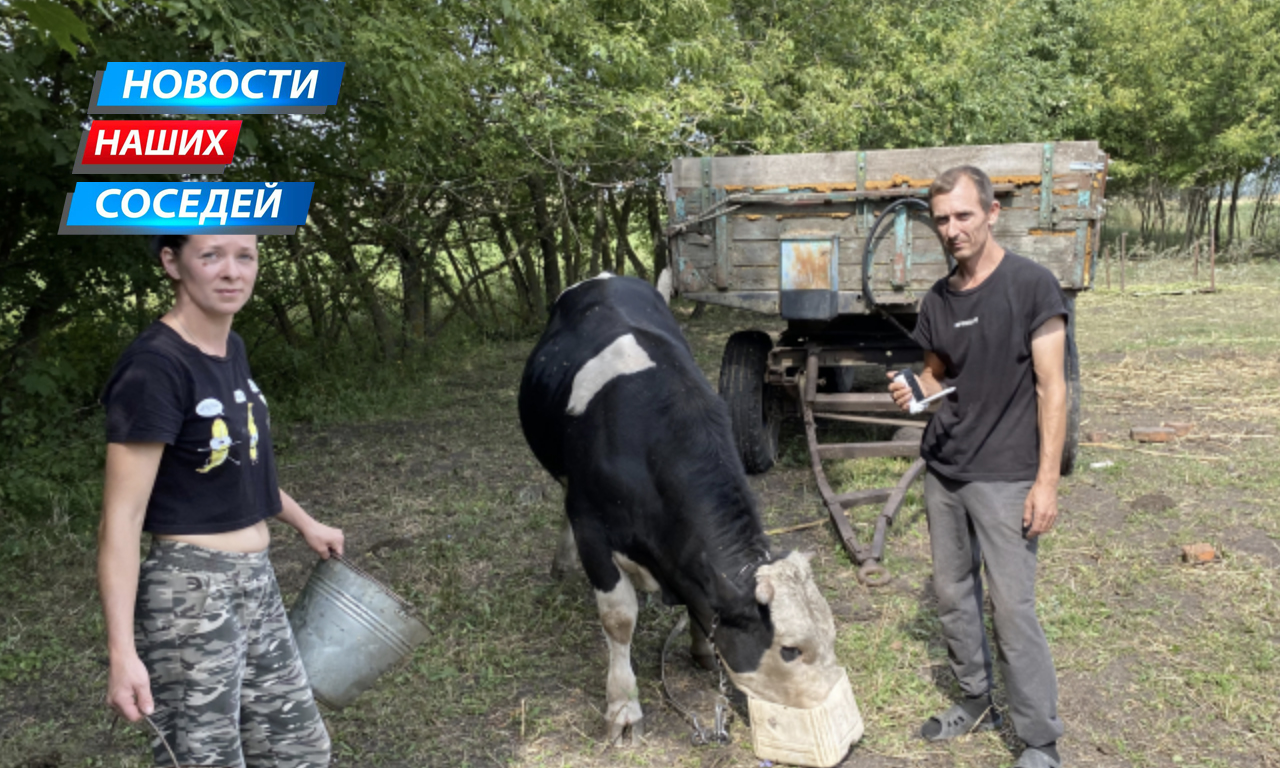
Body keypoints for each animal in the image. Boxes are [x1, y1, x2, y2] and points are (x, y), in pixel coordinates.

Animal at [514, 272, 844, 742]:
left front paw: (704, 650)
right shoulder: (593, 529)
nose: (835, 716)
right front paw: (623, 707)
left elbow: (702, 605)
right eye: (790, 650)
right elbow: (619, 619)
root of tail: (606, 276)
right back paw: (562, 562)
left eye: (832, 631)